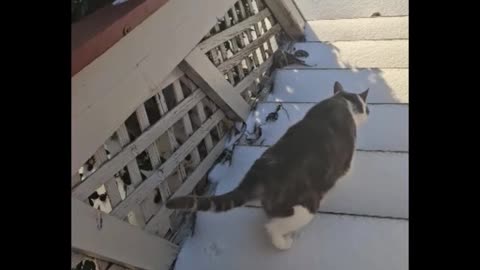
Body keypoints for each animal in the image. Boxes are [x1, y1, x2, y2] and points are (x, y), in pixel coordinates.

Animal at [167, 81, 370, 250]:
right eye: (367, 108)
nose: (368, 112)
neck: (341, 101)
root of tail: (259, 175)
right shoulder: (346, 158)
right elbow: (345, 170)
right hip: (305, 205)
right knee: (273, 227)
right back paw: (284, 242)